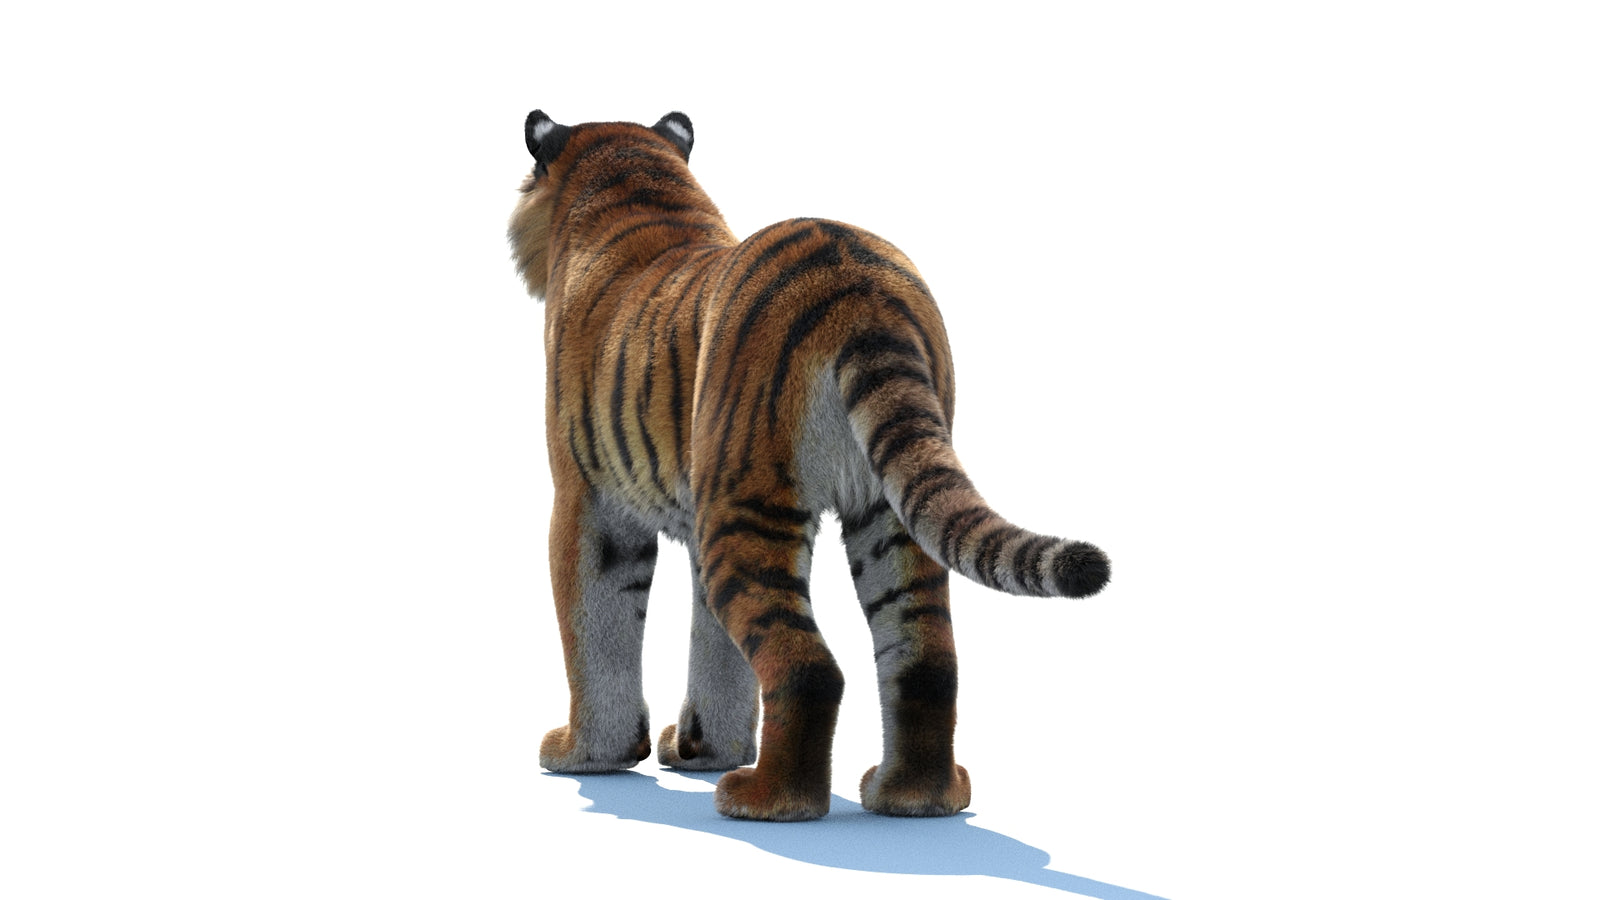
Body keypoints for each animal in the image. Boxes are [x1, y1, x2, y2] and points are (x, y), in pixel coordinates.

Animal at [508, 109, 1110, 822]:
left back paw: (768, 799)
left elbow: (595, 635)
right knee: (927, 659)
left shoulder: (590, 504)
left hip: (749, 508)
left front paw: (586, 755)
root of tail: (858, 284)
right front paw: (701, 750)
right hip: (894, 511)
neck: (636, 184)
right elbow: (716, 652)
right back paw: (914, 796)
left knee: (809, 666)